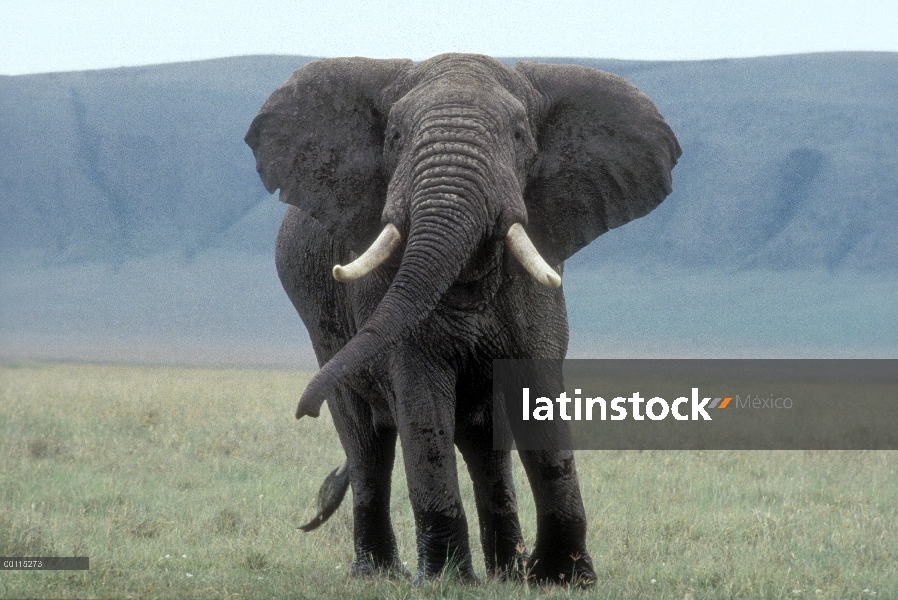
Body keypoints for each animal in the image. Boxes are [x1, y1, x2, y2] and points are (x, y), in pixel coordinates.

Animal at [242, 52, 676, 584]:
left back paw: (507, 574)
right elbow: (421, 400)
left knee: (484, 443)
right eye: (395, 136)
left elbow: (537, 400)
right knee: (367, 443)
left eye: (519, 135)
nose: (304, 408)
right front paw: (446, 581)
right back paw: (378, 574)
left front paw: (564, 580)